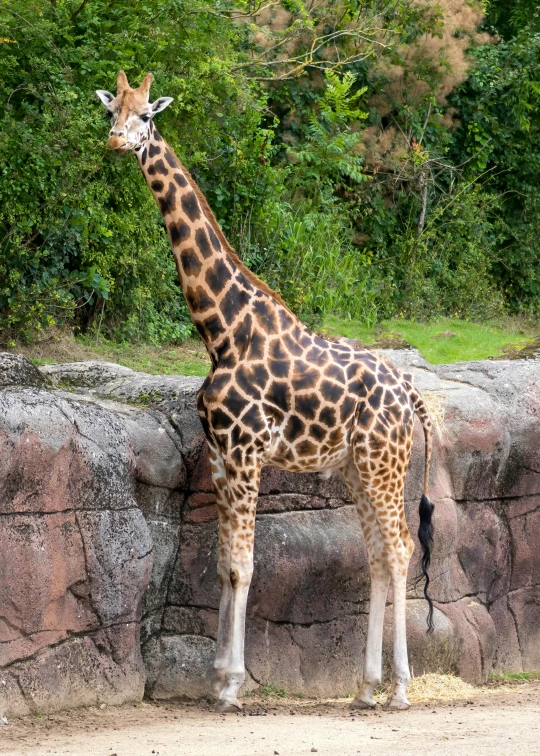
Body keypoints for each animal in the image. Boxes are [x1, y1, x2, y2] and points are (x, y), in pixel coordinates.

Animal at [96, 72, 434, 716]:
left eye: (147, 114)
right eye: (112, 110)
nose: (116, 141)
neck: (221, 330)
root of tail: (413, 398)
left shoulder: (247, 450)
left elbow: (245, 565)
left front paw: (231, 684)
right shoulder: (220, 454)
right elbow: (224, 565)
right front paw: (217, 677)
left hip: (384, 464)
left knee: (402, 547)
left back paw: (402, 687)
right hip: (356, 468)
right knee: (379, 554)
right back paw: (366, 687)